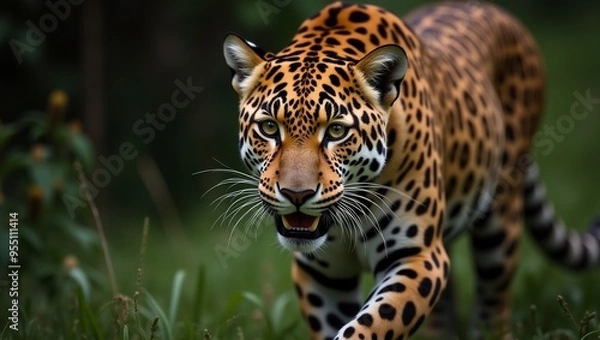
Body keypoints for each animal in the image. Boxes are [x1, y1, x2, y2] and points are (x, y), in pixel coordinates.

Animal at [221, 1, 600, 338]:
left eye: (337, 131)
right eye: (269, 128)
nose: (296, 194)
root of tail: (498, 12)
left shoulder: (418, 256)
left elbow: (372, 325)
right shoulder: (322, 274)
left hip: (499, 220)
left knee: (494, 303)